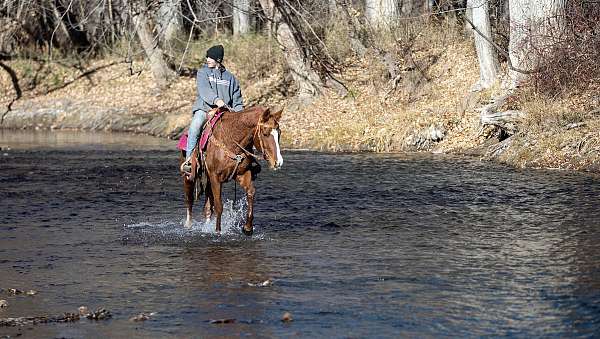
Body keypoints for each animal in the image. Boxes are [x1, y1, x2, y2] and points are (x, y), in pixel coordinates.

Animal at [178, 106, 284, 236]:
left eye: (279, 133)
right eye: (265, 133)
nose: (278, 162)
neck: (231, 140)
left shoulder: (243, 174)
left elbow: (251, 193)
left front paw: (247, 228)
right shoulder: (215, 177)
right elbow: (219, 205)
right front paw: (218, 231)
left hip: (208, 180)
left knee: (208, 205)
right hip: (188, 176)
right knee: (189, 199)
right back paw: (188, 224)